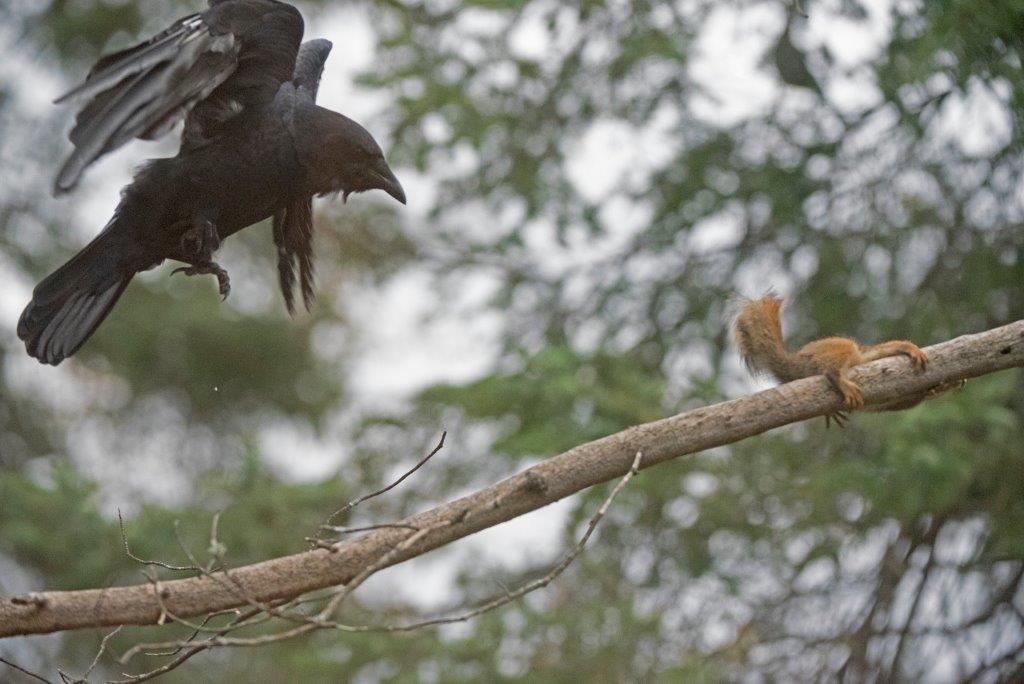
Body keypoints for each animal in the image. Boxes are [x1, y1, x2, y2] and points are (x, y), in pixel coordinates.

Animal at [733, 296, 934, 427]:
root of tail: (794, 365)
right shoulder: (868, 355)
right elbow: (884, 348)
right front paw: (910, 348)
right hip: (838, 347)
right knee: (832, 368)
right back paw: (837, 379)